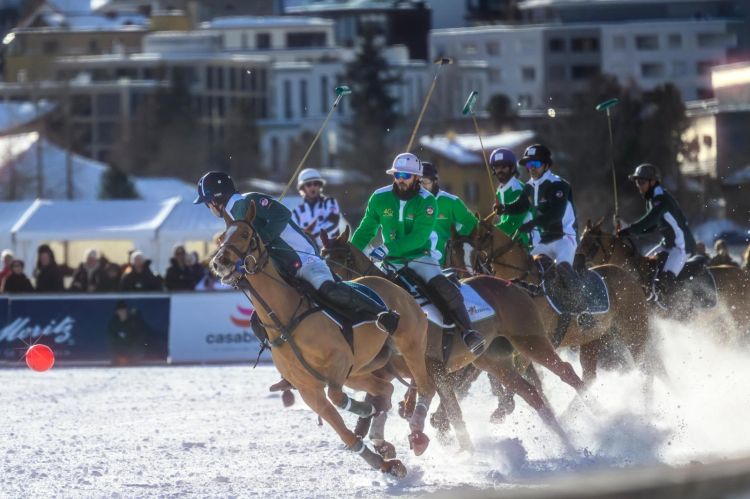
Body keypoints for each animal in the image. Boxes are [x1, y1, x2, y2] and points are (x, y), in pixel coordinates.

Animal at [209, 202, 438, 476]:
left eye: (244, 234)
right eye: (221, 238)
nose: (220, 262)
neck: (285, 318)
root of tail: (397, 288)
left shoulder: (340, 360)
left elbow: (337, 397)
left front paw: (365, 411)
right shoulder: (309, 390)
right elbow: (344, 432)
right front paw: (383, 462)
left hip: (410, 345)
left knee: (426, 387)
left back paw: (417, 434)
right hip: (362, 370)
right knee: (387, 388)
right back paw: (382, 439)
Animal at [320, 225, 584, 452]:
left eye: (346, 259)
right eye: (322, 257)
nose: (332, 295)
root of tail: (513, 284)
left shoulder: (436, 369)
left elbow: (453, 410)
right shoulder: (386, 371)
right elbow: (381, 399)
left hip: (531, 341)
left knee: (566, 372)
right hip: (493, 361)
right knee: (529, 392)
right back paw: (567, 441)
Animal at [452, 212, 656, 382]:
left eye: (483, 236)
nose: (465, 276)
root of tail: (627, 275)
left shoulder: (533, 345)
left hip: (634, 330)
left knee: (645, 366)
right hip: (595, 337)